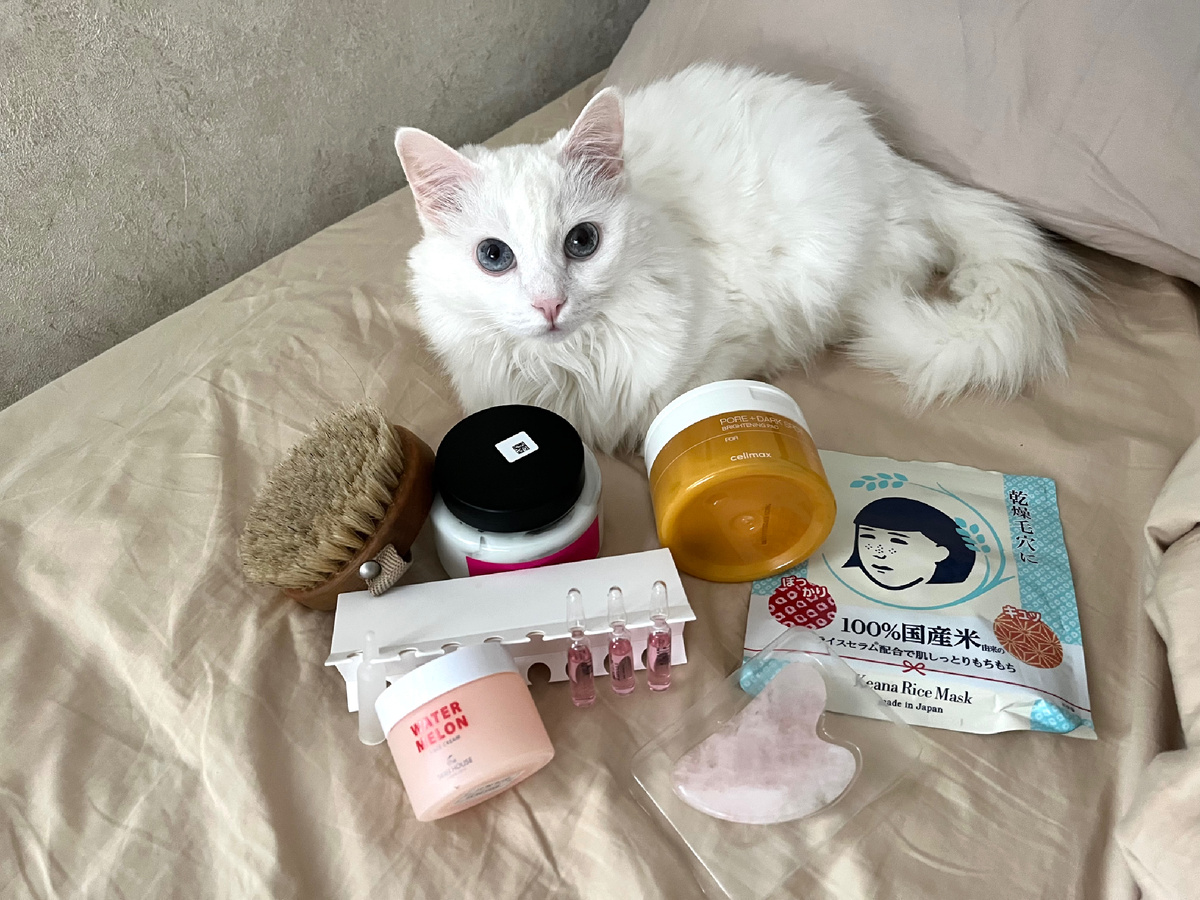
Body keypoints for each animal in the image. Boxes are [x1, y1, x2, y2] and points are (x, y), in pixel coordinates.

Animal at [394, 63, 1086, 454]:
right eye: (493, 256)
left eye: (582, 242)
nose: (549, 305)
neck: (573, 366)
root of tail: (893, 157)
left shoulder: (729, 345)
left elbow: (673, 414)